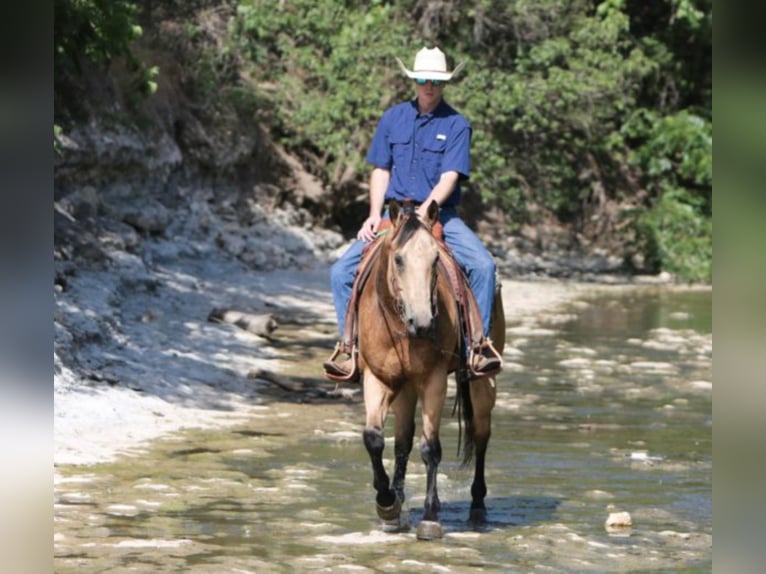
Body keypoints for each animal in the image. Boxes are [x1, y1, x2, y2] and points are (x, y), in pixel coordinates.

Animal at [356, 200, 508, 544]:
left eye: (435, 258)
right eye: (398, 259)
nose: (423, 323)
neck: (400, 327)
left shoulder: (433, 380)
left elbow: (431, 448)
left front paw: (429, 518)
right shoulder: (378, 378)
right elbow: (375, 438)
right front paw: (388, 505)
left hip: (482, 384)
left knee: (482, 435)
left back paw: (477, 506)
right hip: (405, 387)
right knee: (402, 441)